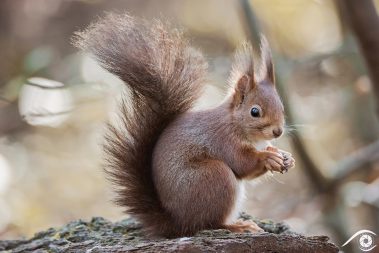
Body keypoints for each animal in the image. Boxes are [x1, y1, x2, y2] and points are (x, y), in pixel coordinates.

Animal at [73, 13, 294, 238]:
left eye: (282, 107)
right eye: (255, 112)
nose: (278, 131)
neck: (236, 124)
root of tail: (177, 222)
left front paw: (284, 156)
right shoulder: (223, 139)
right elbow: (243, 164)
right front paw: (268, 157)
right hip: (214, 176)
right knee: (209, 223)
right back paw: (237, 226)